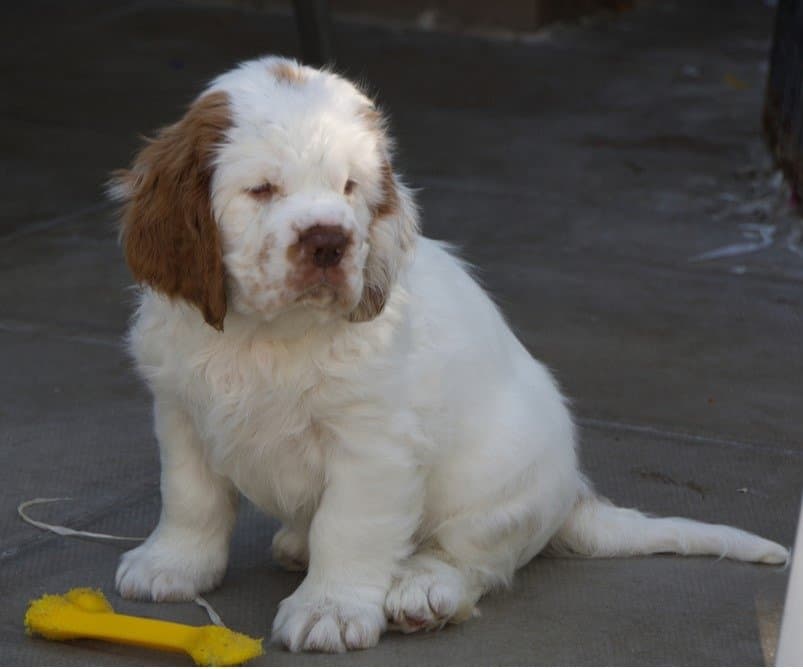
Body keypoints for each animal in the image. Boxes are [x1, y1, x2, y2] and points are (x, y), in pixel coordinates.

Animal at [108, 57, 792, 652]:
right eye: (262, 189)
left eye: (350, 188)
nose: (329, 242)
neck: (268, 336)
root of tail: (574, 494)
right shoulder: (180, 411)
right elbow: (190, 497)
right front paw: (171, 566)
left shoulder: (374, 444)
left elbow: (349, 525)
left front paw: (330, 610)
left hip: (493, 484)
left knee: (472, 560)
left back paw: (421, 590)